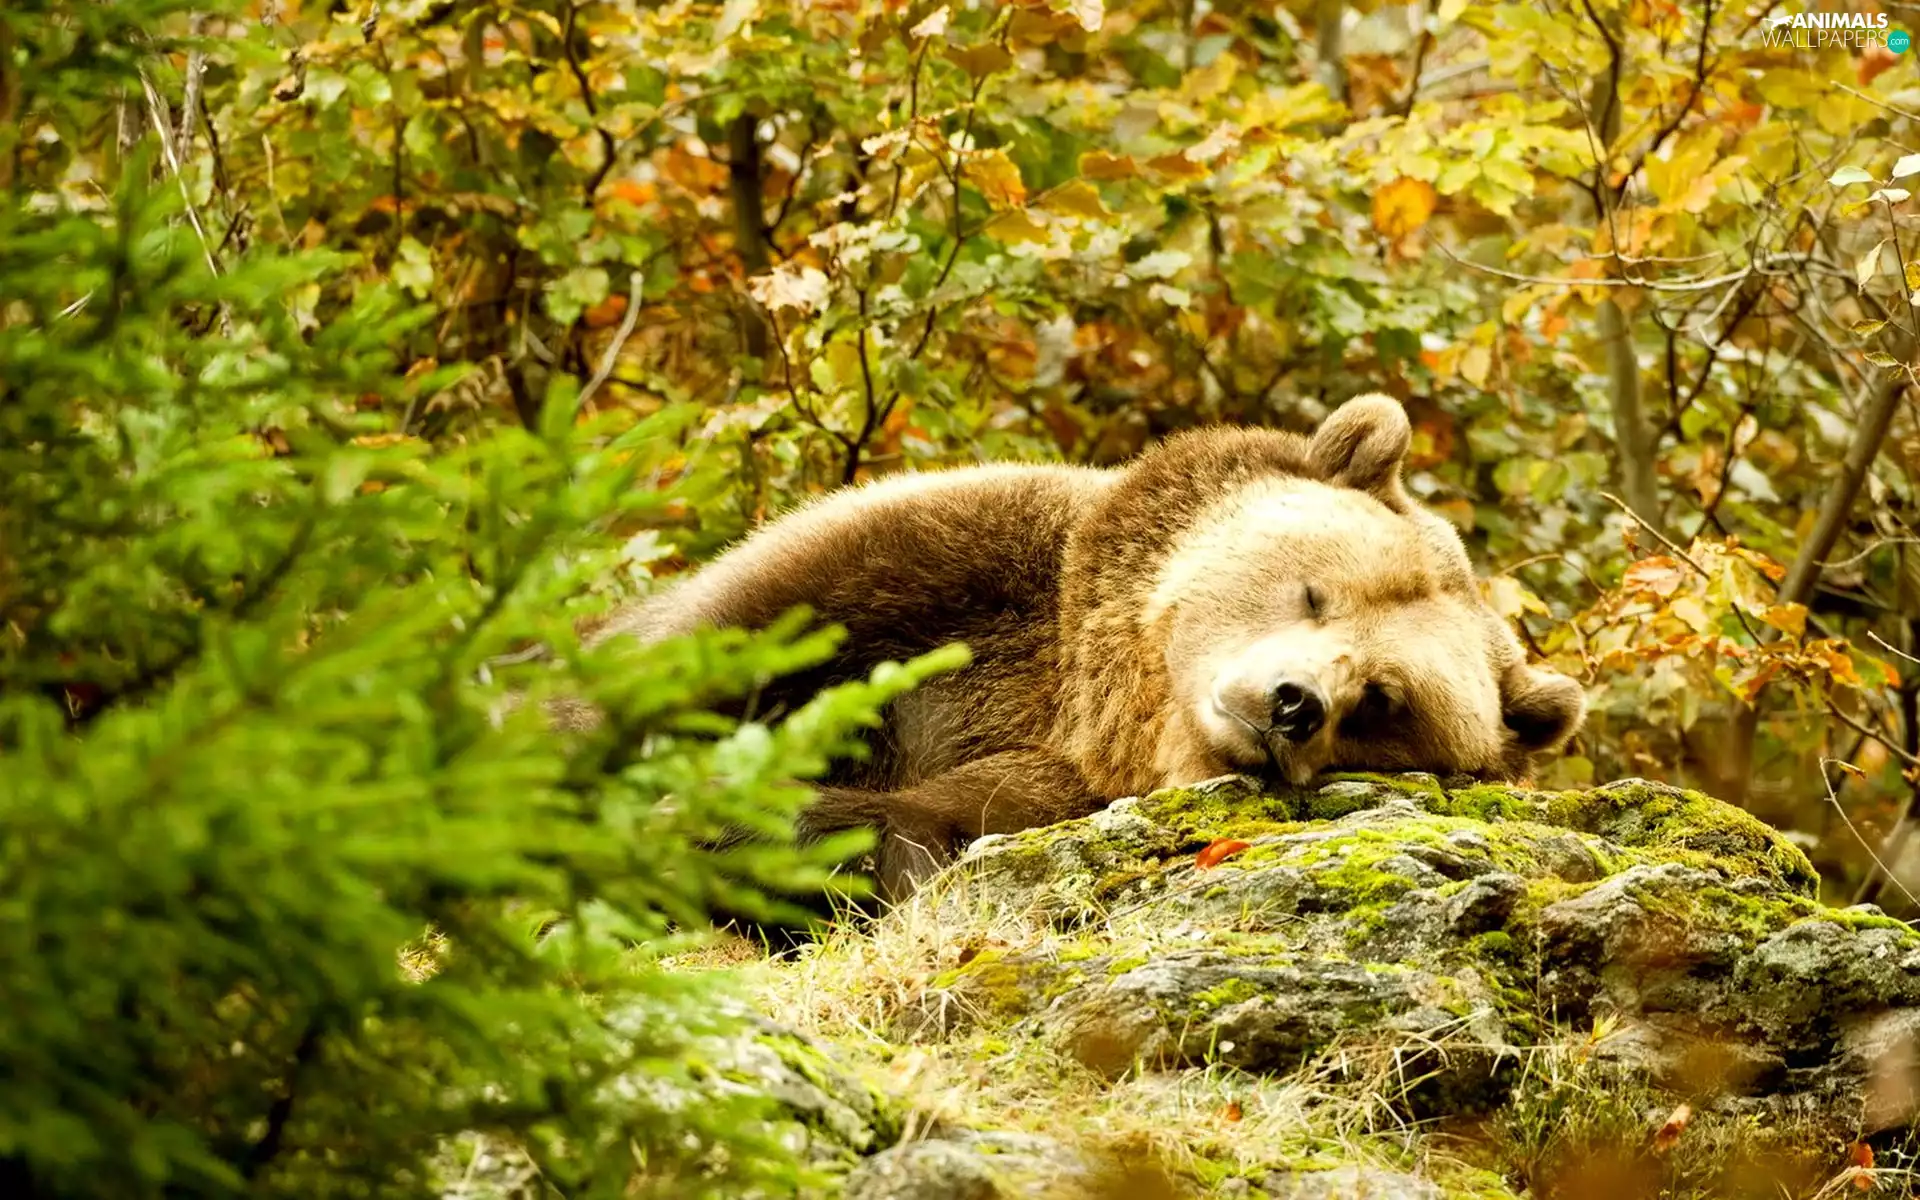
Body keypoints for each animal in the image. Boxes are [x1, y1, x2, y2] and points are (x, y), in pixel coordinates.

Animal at [586, 395, 1586, 900]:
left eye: (1384, 698)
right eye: (1317, 592)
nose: (1294, 704)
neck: (1091, 688)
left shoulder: (1059, 784)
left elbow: (907, 828)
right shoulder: (942, 565)